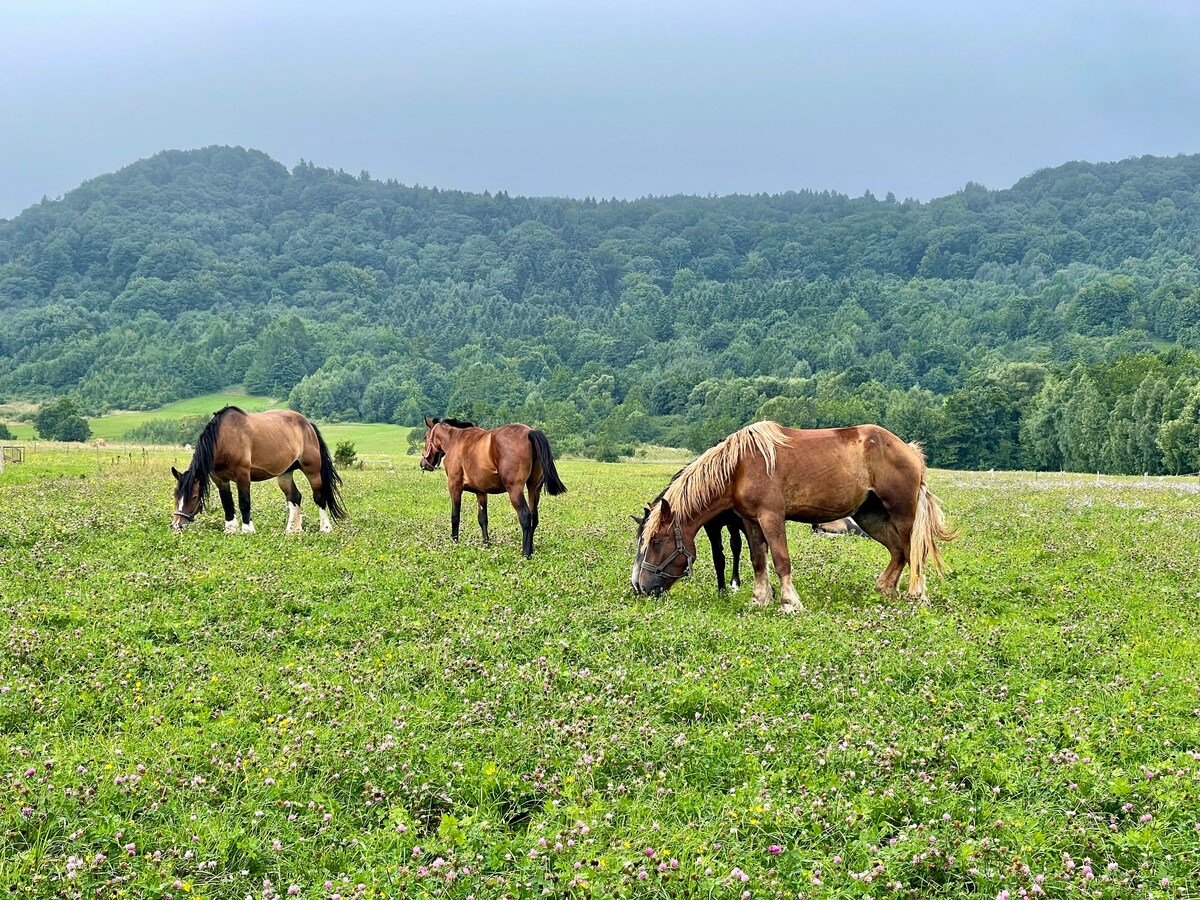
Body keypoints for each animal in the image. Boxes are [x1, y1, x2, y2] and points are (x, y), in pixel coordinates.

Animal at [171, 408, 345, 535]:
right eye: (175, 495)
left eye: (194, 496)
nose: (177, 525)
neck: (225, 439)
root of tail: (308, 424)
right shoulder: (220, 480)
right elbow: (227, 503)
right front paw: (230, 529)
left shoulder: (242, 476)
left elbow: (244, 503)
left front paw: (247, 529)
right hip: (285, 474)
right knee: (294, 497)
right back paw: (292, 530)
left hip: (312, 470)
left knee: (319, 497)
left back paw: (325, 528)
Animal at [420, 422, 568, 561]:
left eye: (425, 437)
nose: (423, 464)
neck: (455, 441)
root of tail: (530, 432)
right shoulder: (481, 492)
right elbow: (483, 518)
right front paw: (486, 542)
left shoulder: (454, 487)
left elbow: (455, 516)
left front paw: (454, 541)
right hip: (534, 488)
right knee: (534, 517)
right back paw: (530, 548)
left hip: (515, 490)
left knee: (525, 516)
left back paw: (526, 553)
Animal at [628, 422, 955, 614]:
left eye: (656, 541)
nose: (640, 586)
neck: (740, 466)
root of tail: (909, 449)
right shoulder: (750, 522)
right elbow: (758, 560)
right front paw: (760, 598)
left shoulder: (771, 517)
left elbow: (781, 559)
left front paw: (789, 602)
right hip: (870, 516)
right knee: (899, 552)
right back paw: (885, 588)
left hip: (902, 515)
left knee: (915, 552)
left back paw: (917, 595)